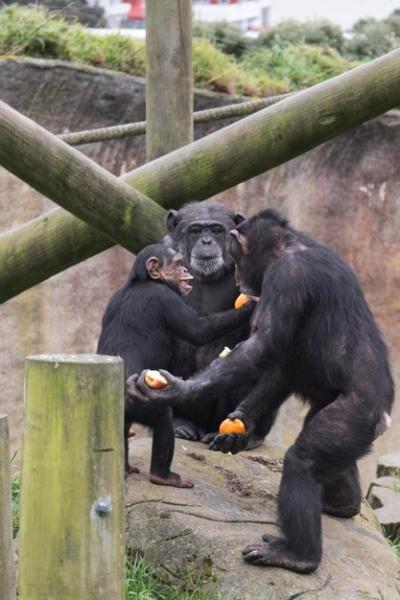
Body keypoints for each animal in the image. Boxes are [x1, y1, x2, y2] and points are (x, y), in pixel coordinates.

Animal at [96, 243, 252, 488]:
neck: (145, 281)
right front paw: (250, 305)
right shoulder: (166, 299)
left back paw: (126, 468)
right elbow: (200, 329)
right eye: (178, 263)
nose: (187, 270)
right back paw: (164, 476)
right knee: (163, 421)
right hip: (142, 403)